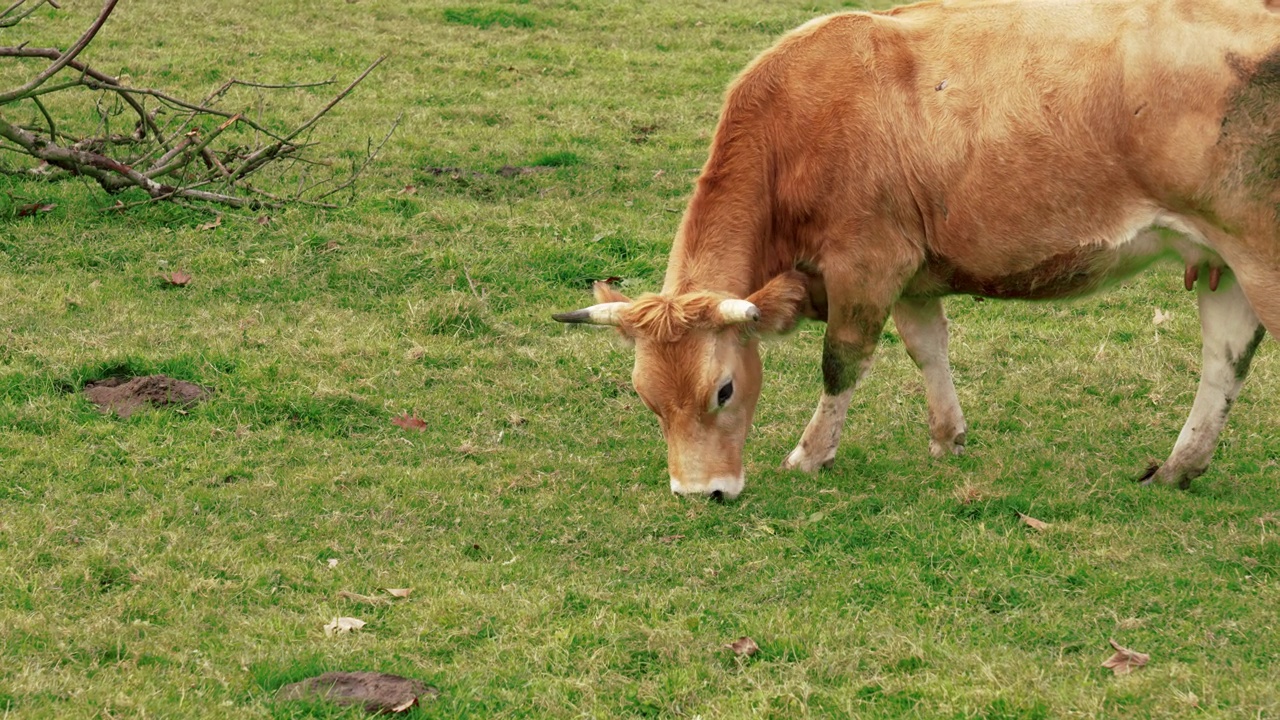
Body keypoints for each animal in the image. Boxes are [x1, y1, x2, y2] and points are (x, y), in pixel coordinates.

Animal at [552, 0, 1280, 499]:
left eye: (724, 390)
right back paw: (1179, 467)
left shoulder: (867, 264)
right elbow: (928, 348)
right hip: (1223, 260)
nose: (701, 493)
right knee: (1224, 359)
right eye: (646, 397)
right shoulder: (912, 272)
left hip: (1261, 256)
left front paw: (811, 456)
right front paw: (946, 437)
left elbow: (841, 363)